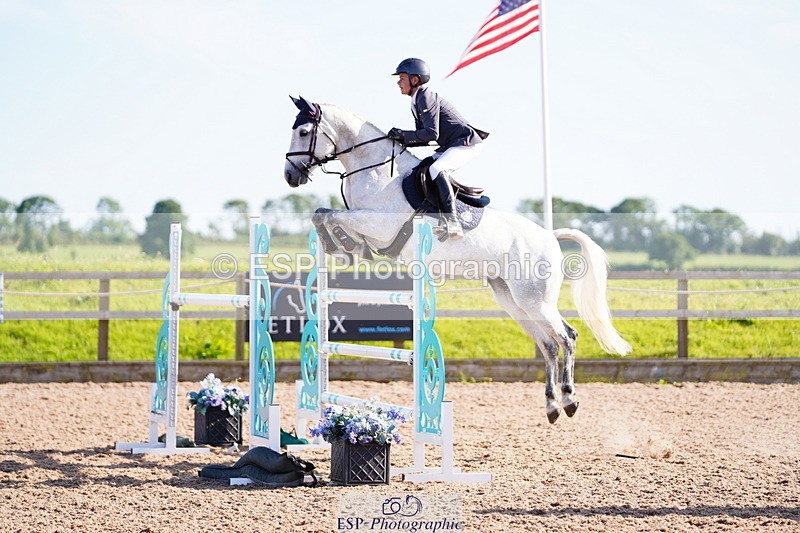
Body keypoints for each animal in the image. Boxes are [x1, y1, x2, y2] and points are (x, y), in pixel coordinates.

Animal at [283, 95, 631, 423]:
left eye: (304, 132)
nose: (289, 176)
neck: (375, 171)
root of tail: (549, 237)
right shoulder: (366, 224)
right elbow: (323, 214)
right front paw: (342, 247)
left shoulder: (379, 227)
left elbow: (331, 216)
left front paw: (343, 246)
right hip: (513, 301)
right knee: (548, 345)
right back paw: (552, 406)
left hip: (536, 301)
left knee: (566, 338)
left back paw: (569, 400)